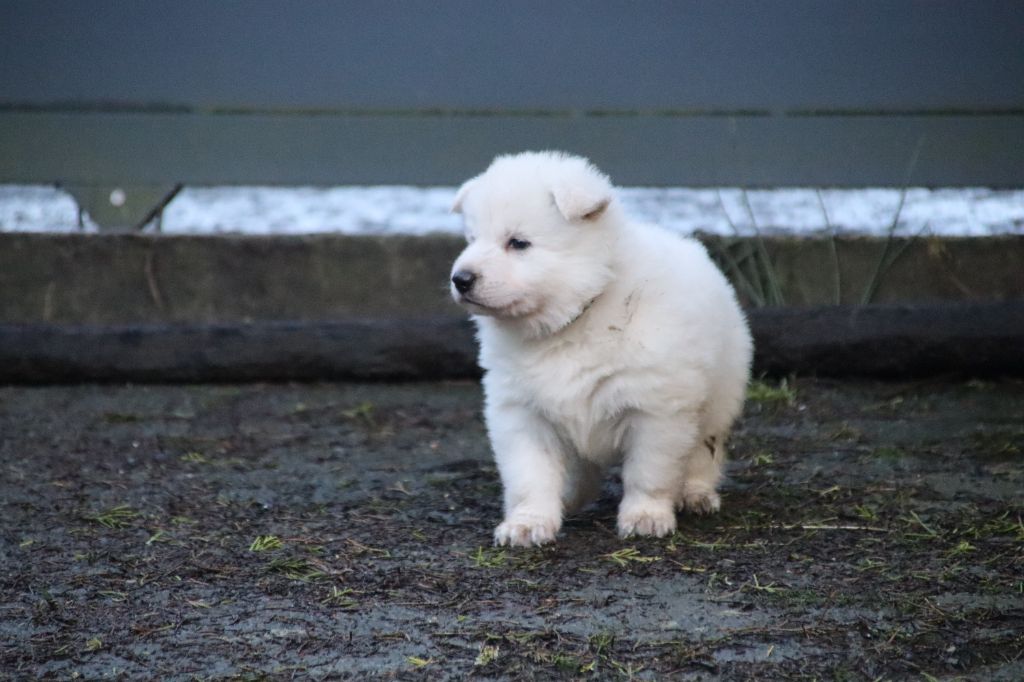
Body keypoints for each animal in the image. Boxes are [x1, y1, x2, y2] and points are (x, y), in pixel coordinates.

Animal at [450, 151, 753, 544]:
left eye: (518, 243)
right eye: (471, 239)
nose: (460, 279)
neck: (573, 318)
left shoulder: (657, 409)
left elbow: (648, 471)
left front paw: (645, 517)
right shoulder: (521, 410)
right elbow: (530, 474)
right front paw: (528, 523)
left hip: (718, 396)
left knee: (704, 451)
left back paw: (696, 494)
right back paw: (568, 497)